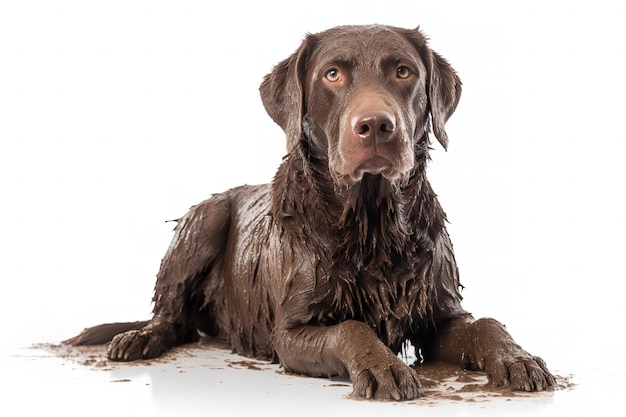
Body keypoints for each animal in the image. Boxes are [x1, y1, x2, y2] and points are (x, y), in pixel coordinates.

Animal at [67, 23, 552, 400]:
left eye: (403, 71)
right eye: (332, 74)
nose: (376, 125)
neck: (371, 226)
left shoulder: (440, 313)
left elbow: (486, 324)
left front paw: (518, 357)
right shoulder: (290, 333)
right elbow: (351, 327)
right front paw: (383, 366)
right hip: (203, 220)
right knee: (170, 317)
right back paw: (139, 338)